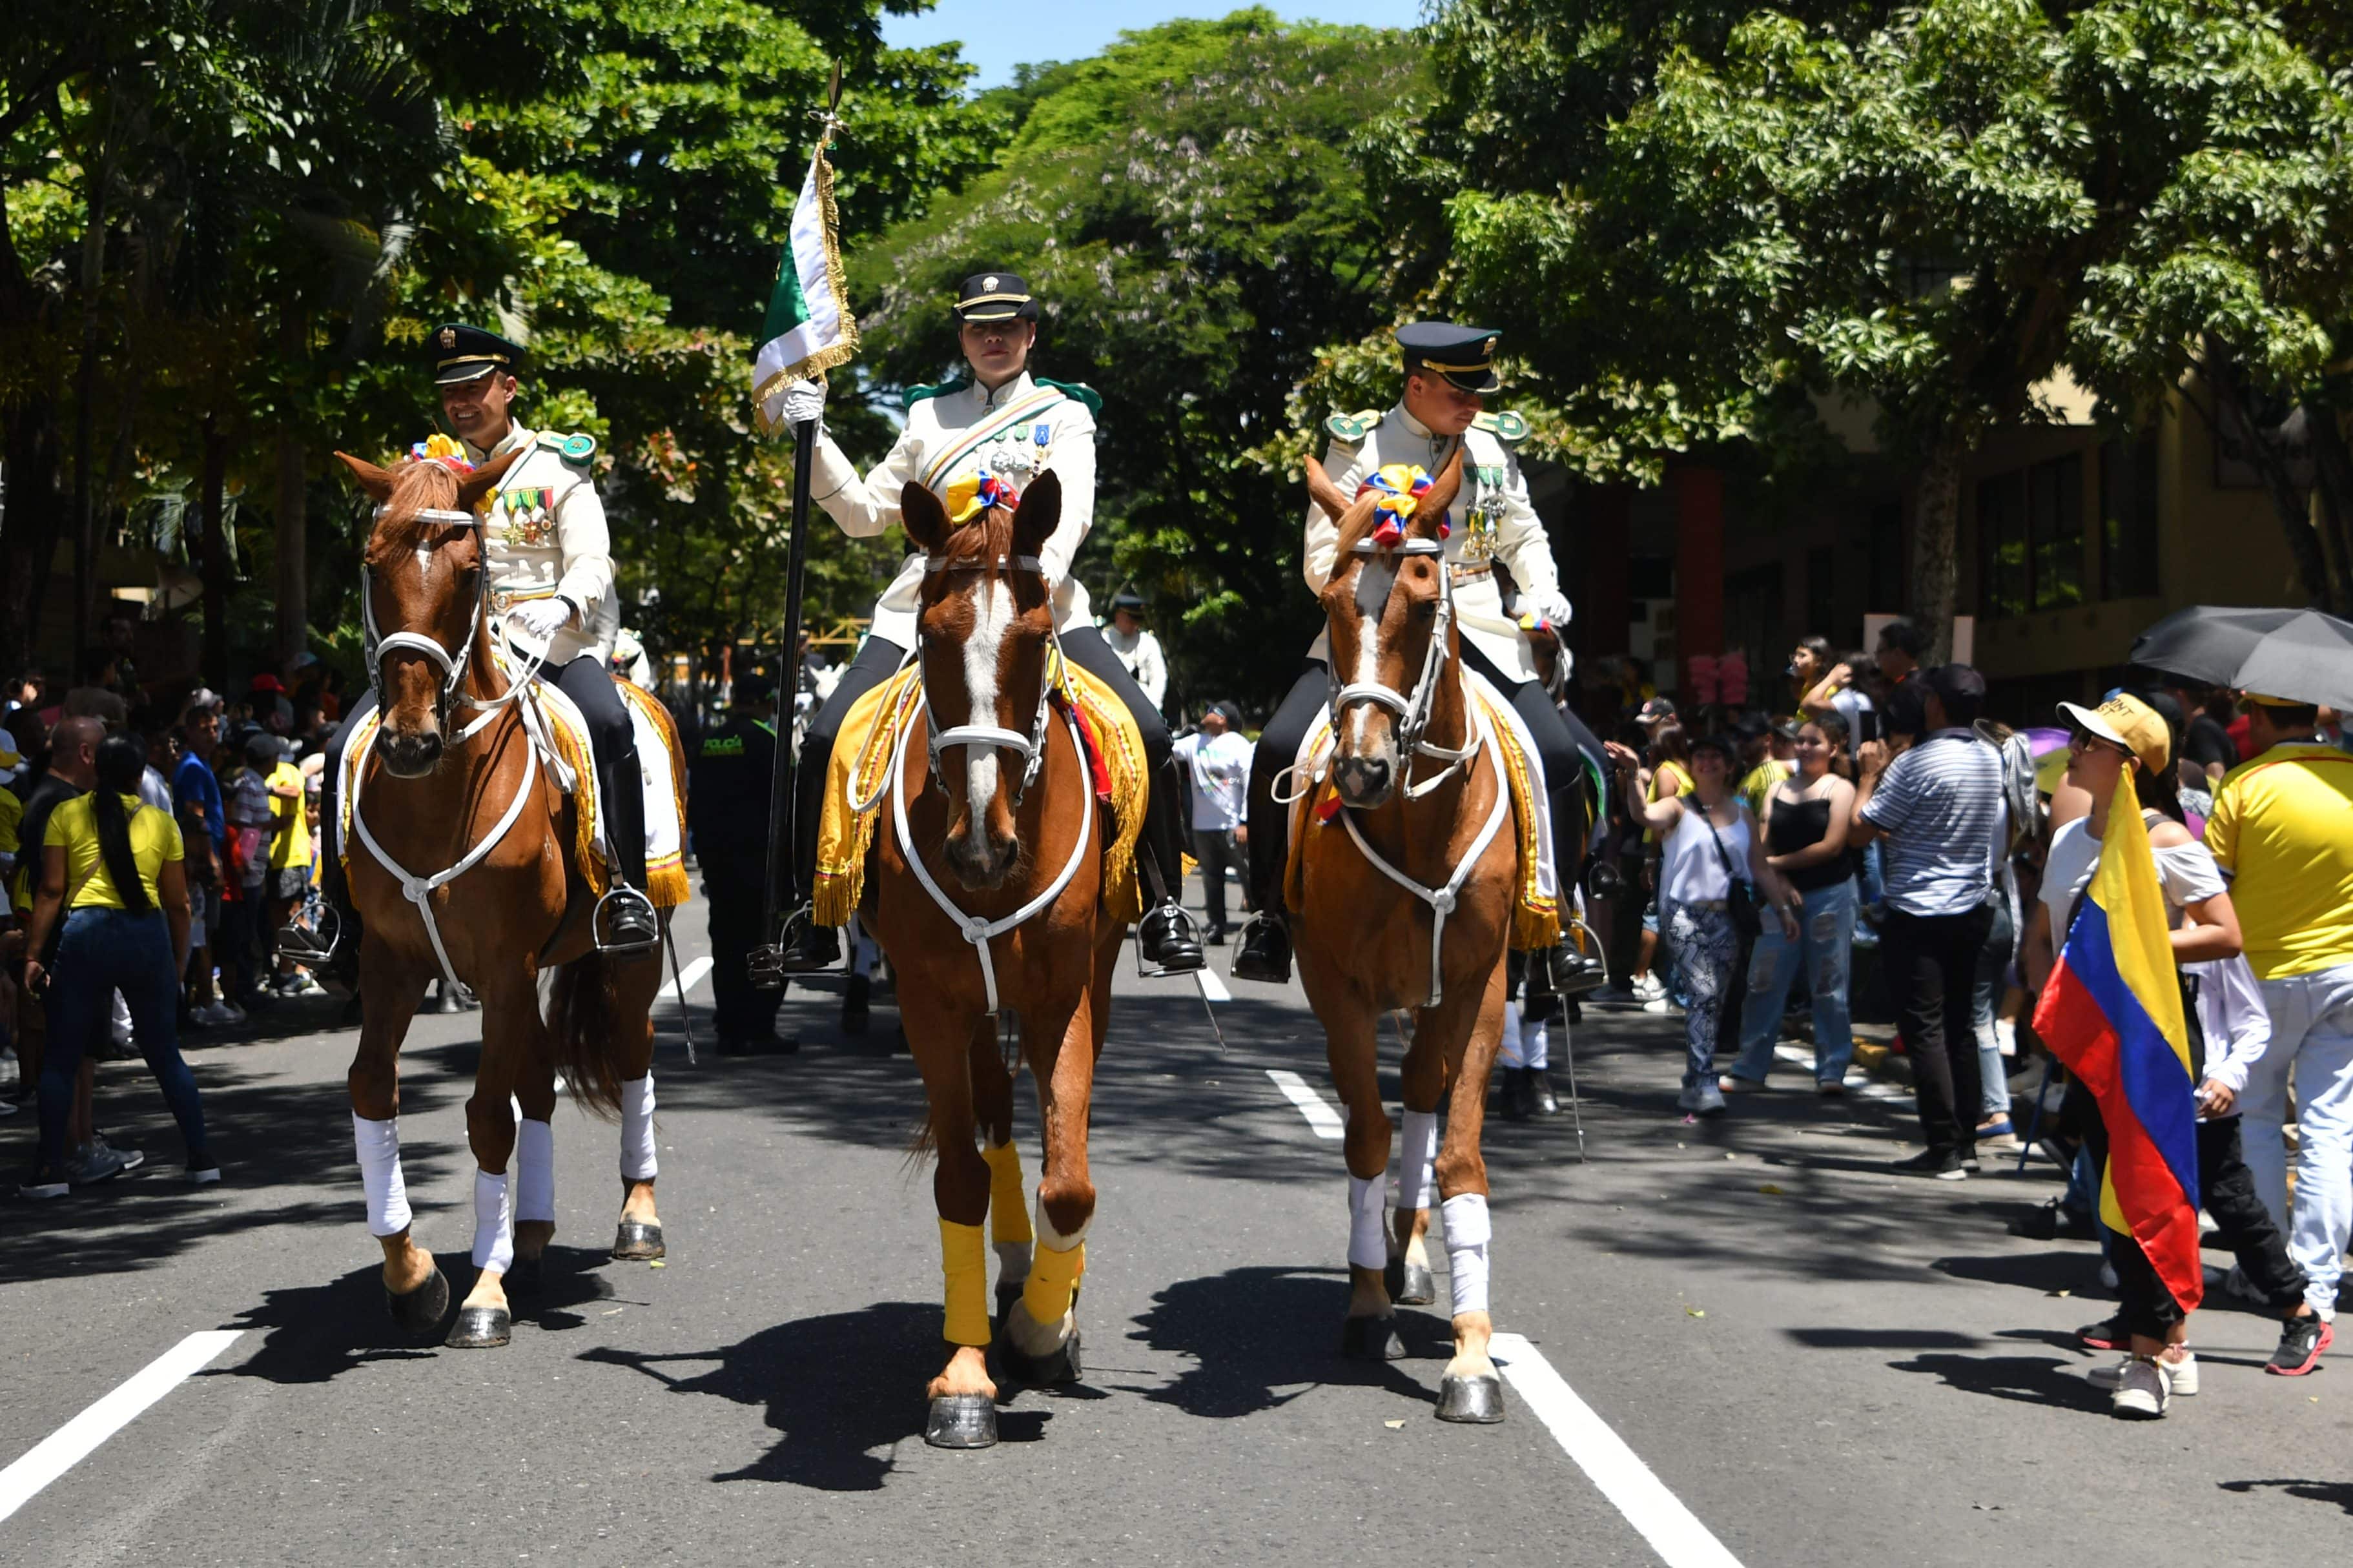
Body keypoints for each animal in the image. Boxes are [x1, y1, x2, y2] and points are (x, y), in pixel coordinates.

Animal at [322, 451, 677, 1354]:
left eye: (469, 570)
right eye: (371, 563)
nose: (410, 738)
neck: (437, 794)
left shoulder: (507, 967)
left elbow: (487, 1116)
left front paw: (481, 1291)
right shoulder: (393, 964)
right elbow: (373, 1088)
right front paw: (414, 1278)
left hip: (627, 954)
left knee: (631, 1055)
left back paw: (637, 1215)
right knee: (541, 1085)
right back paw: (533, 1234)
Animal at [861, 472, 1124, 1457]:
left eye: (1037, 636)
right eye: (932, 638)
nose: (981, 846)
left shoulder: (1064, 996)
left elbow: (1072, 1183)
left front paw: (1044, 1330)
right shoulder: (930, 1001)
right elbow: (961, 1177)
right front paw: (968, 1371)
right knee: (996, 1113)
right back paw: (1009, 1264)